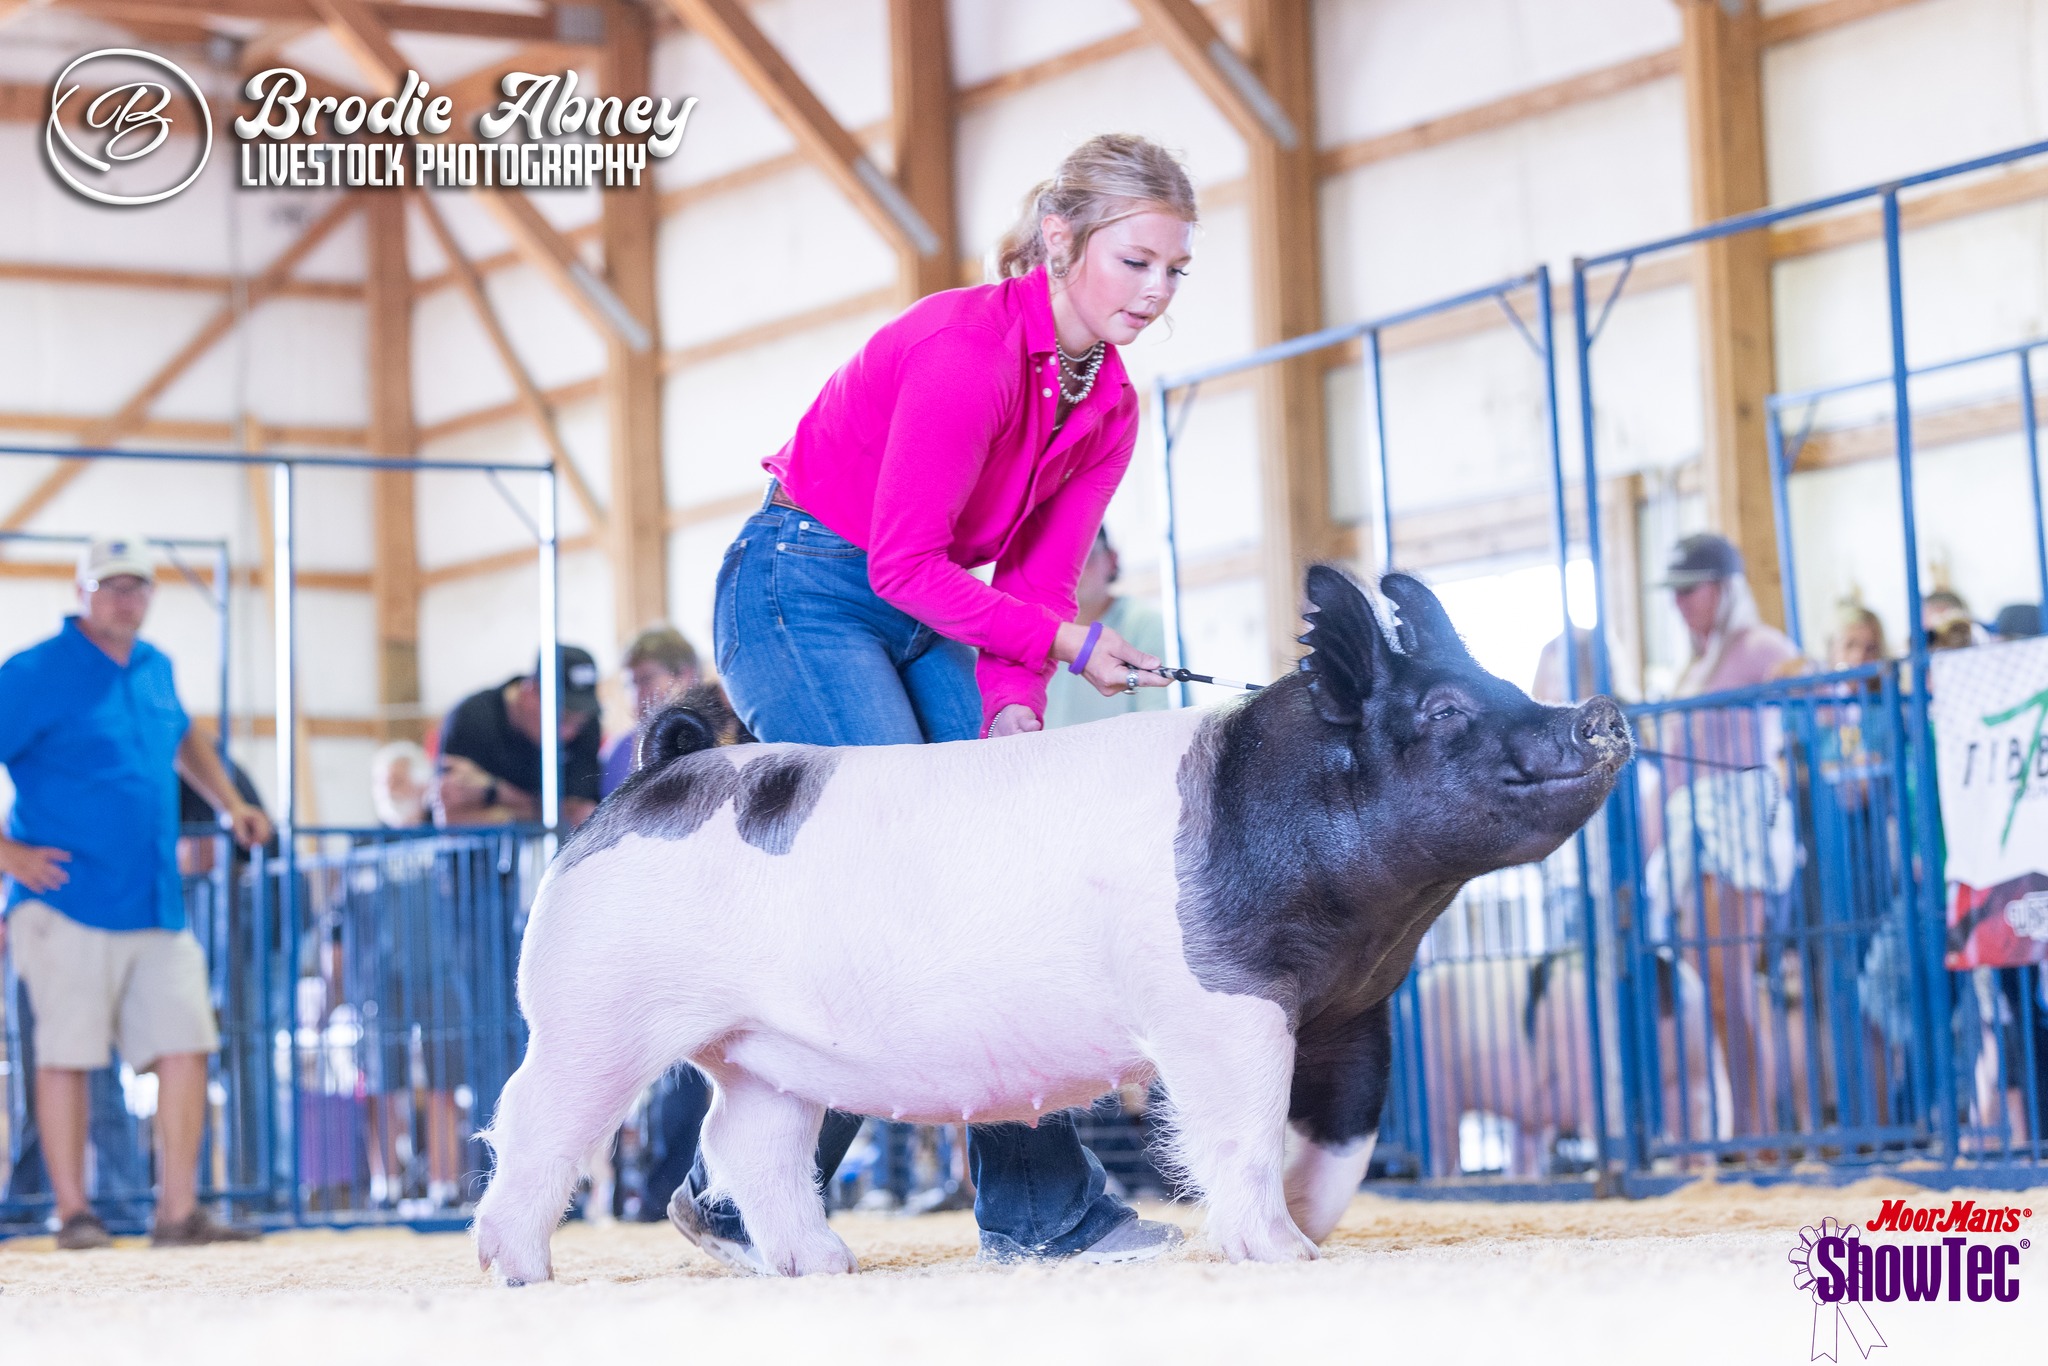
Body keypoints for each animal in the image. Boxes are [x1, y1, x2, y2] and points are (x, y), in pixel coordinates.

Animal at [471, 568, 1632, 1282]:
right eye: (1441, 711)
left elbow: (1344, 1134)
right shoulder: (1222, 1003)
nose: (1602, 711)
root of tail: (651, 774)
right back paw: (517, 1268)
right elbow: (1243, 1126)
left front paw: (1307, 1231)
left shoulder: (1356, 1007)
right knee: (534, 1119)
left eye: (1496, 679)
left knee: (744, 1139)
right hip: (590, 1011)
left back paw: (827, 1265)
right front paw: (1278, 1250)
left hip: (763, 1049)